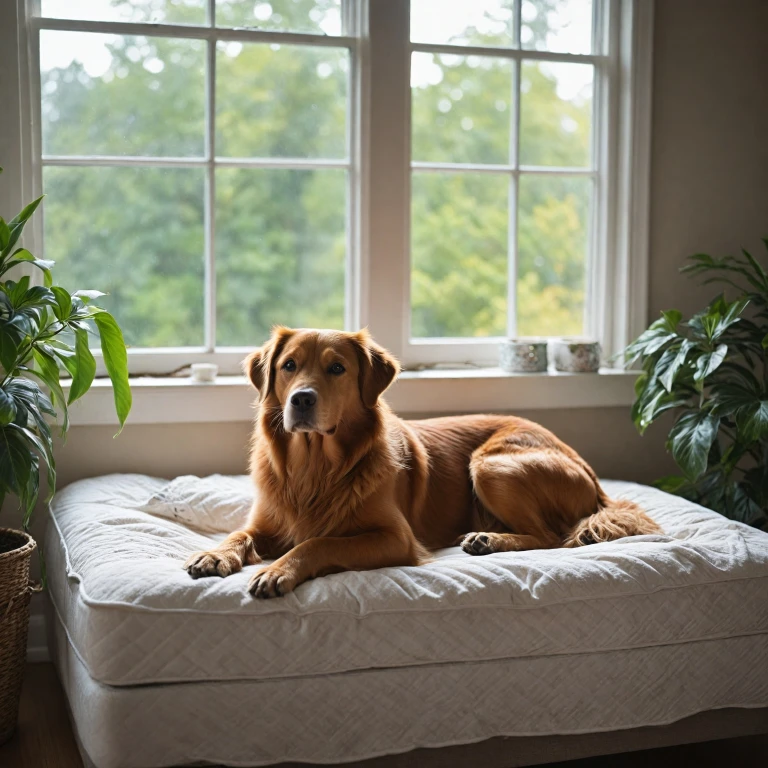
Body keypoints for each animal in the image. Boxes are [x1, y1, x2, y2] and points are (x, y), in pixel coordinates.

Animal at [182, 328, 660, 596]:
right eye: (288, 365)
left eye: (337, 369)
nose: (301, 400)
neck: (315, 467)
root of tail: (594, 477)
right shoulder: (263, 523)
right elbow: (237, 535)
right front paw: (214, 555)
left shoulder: (395, 538)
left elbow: (318, 543)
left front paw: (278, 570)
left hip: (491, 465)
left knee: (552, 536)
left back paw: (489, 539)